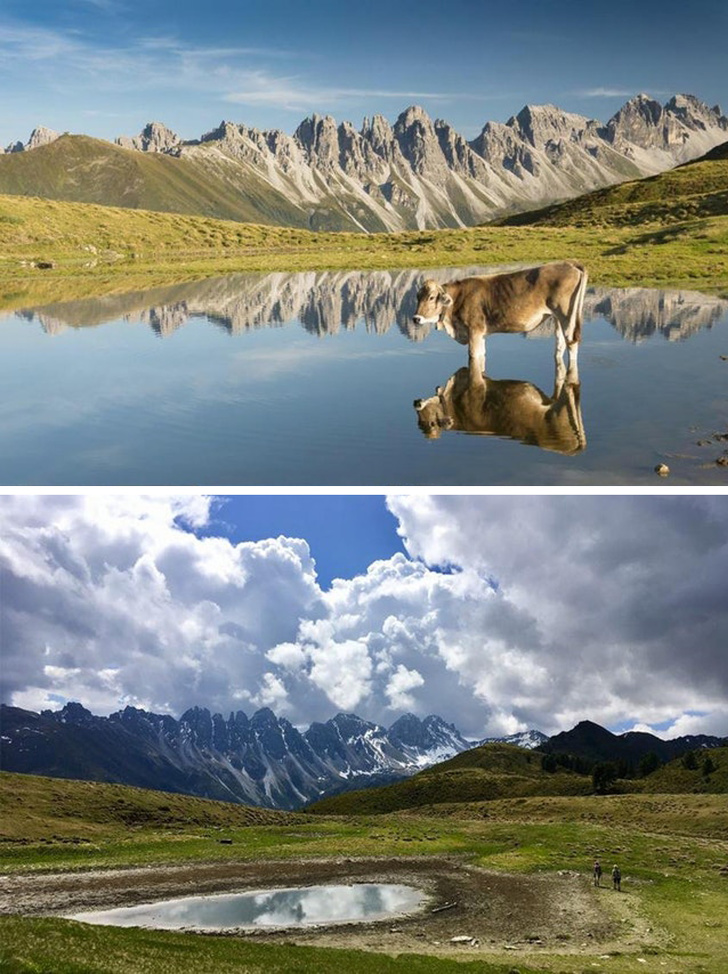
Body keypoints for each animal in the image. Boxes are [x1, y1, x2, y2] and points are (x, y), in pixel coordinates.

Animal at [412, 262, 588, 364]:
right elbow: (482, 354)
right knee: (560, 343)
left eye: (431, 297)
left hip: (567, 316)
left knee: (571, 343)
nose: (416, 318)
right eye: (417, 296)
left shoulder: (474, 330)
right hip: (558, 318)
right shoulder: (481, 334)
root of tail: (570, 264)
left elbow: (474, 356)